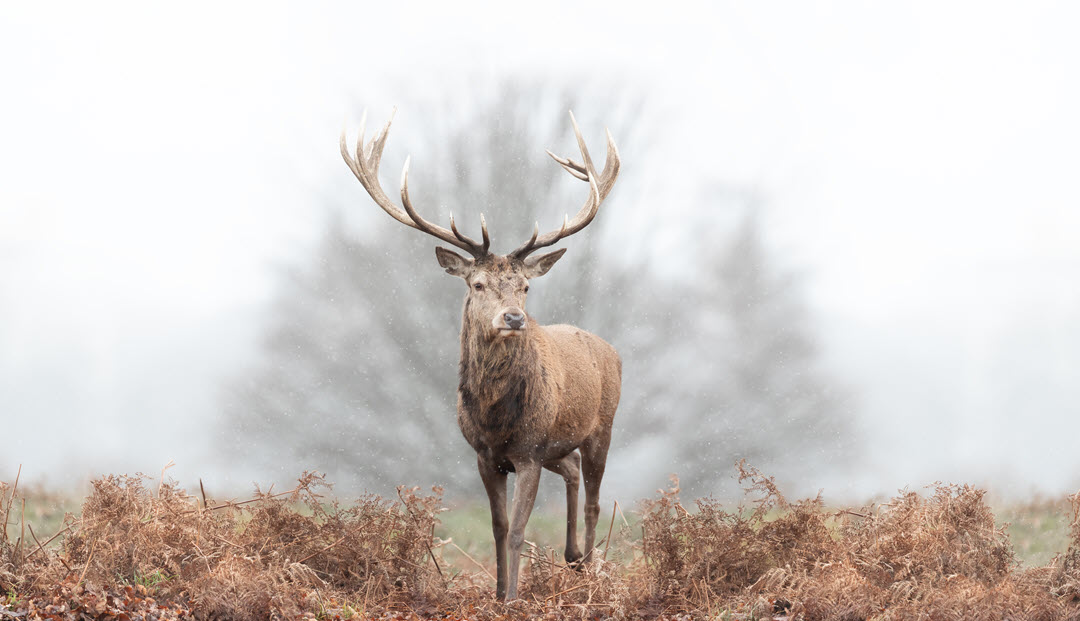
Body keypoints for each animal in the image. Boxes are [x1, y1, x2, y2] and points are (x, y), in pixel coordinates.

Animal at [340, 110, 621, 601]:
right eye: (477, 284)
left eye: (525, 287)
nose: (513, 317)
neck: (496, 419)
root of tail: (613, 352)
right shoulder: (485, 456)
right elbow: (497, 526)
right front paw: (497, 593)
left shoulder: (529, 451)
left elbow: (519, 530)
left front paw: (513, 598)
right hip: (557, 446)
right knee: (569, 470)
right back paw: (571, 558)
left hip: (602, 425)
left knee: (594, 500)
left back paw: (587, 568)